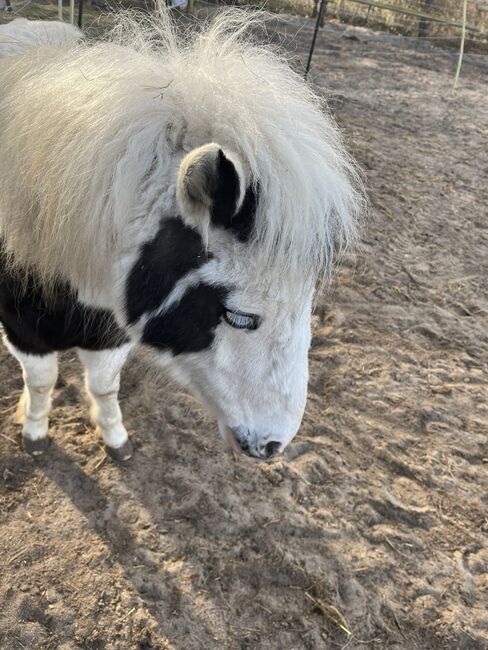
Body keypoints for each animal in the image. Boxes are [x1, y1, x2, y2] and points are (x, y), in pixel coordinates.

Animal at [0, 7, 362, 458]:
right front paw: (34, 428)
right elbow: (41, 381)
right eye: (240, 317)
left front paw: (114, 435)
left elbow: (103, 385)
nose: (272, 444)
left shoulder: (109, 332)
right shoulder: (23, 331)